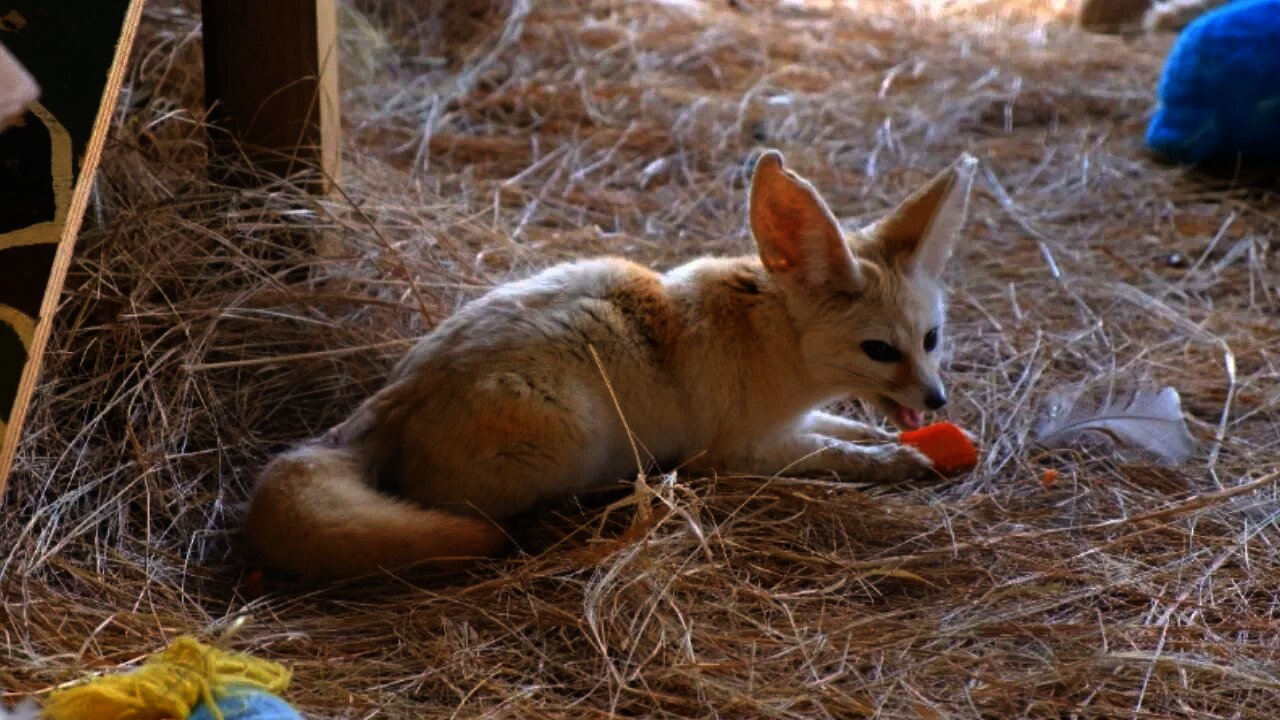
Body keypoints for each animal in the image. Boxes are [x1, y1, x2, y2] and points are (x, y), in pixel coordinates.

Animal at [241, 149, 977, 576]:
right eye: (880, 350)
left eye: (932, 340)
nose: (938, 401)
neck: (770, 337)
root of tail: (392, 399)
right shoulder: (736, 451)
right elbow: (839, 454)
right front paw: (897, 461)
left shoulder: (789, 422)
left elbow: (846, 427)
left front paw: (904, 441)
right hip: (571, 436)